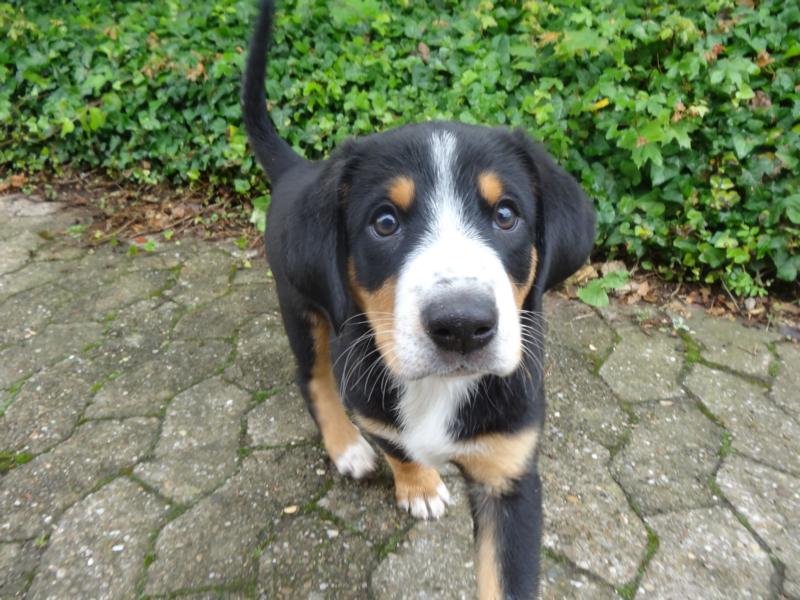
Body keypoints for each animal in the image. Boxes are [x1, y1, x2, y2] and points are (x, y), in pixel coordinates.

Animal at [242, 1, 596, 597]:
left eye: (506, 215)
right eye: (385, 223)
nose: (462, 325)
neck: (438, 390)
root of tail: (299, 172)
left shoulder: (511, 472)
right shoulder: (371, 399)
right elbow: (396, 441)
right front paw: (418, 484)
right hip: (301, 307)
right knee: (312, 377)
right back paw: (347, 448)